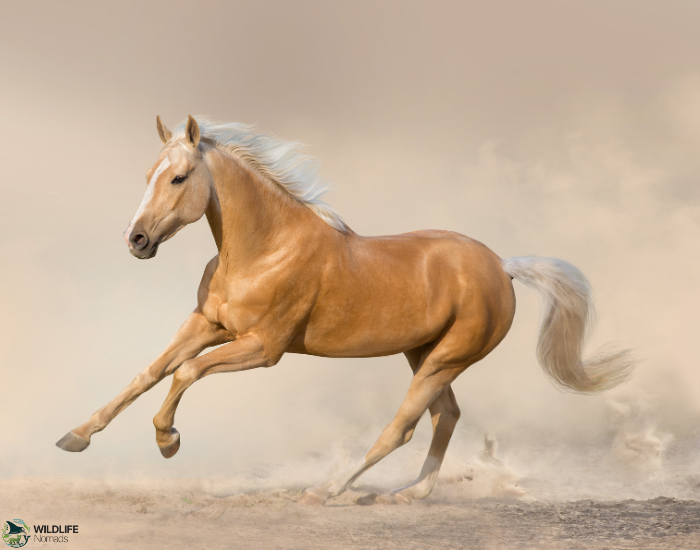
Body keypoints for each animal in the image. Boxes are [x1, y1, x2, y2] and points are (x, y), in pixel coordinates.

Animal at [56, 115, 634, 504]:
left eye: (177, 178)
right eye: (147, 175)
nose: (136, 240)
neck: (264, 249)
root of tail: (502, 265)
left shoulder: (263, 348)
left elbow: (185, 373)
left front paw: (167, 441)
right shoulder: (208, 324)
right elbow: (150, 372)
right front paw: (76, 437)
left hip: (446, 357)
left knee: (403, 425)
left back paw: (329, 489)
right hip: (423, 352)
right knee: (445, 415)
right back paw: (410, 495)